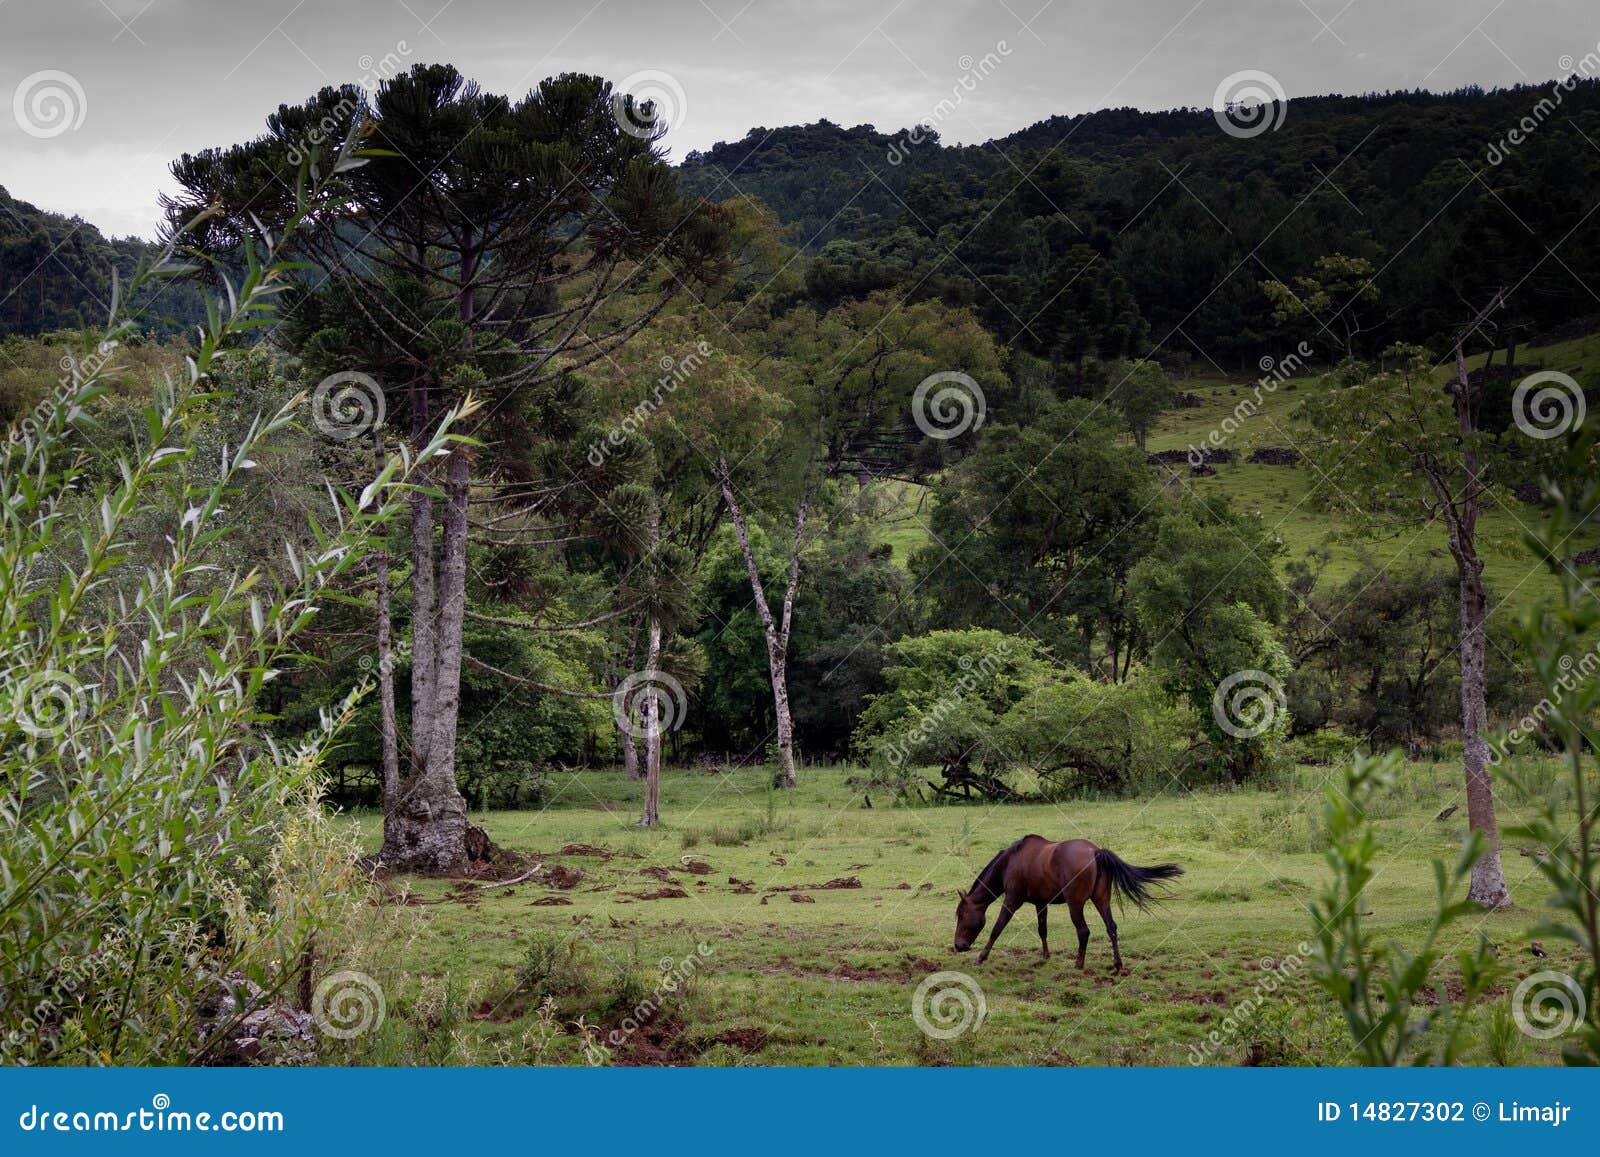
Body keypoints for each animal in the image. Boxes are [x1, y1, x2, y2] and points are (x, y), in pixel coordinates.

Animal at [953, 838, 1184, 972]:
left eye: (961, 915)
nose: (958, 945)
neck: (1011, 860)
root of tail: (1096, 852)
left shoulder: (1012, 900)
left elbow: (997, 928)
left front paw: (981, 957)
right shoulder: (1041, 903)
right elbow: (1042, 929)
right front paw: (1045, 956)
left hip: (1075, 904)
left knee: (1083, 931)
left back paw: (1079, 964)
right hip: (1102, 900)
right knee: (1111, 928)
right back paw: (1117, 965)